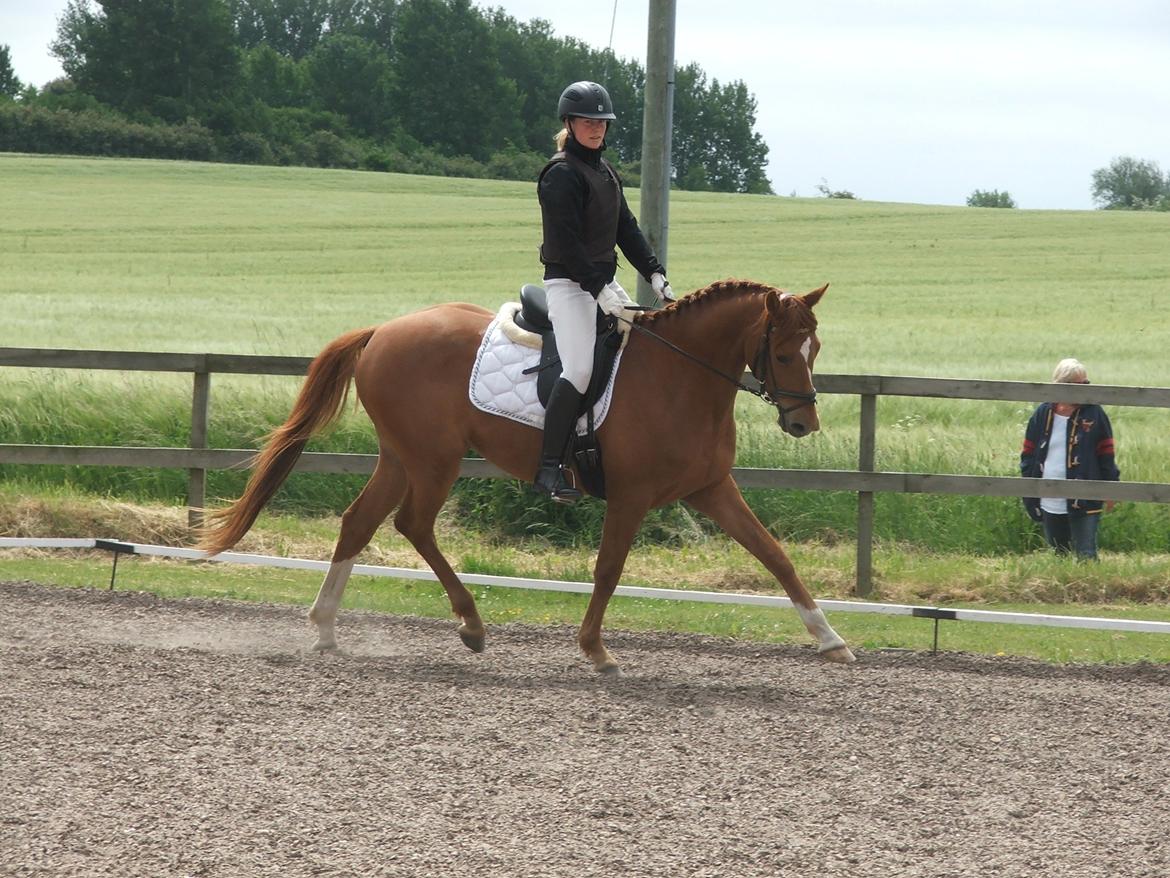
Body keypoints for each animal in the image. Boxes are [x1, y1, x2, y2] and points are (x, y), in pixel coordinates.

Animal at [201, 282, 856, 674]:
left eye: (816, 349)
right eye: (783, 353)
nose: (804, 422)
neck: (681, 376)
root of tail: (383, 330)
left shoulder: (712, 489)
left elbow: (775, 557)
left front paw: (830, 639)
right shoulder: (632, 495)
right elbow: (608, 569)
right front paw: (596, 650)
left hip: (401, 456)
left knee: (360, 522)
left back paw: (326, 630)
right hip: (433, 460)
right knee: (412, 524)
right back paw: (470, 624)